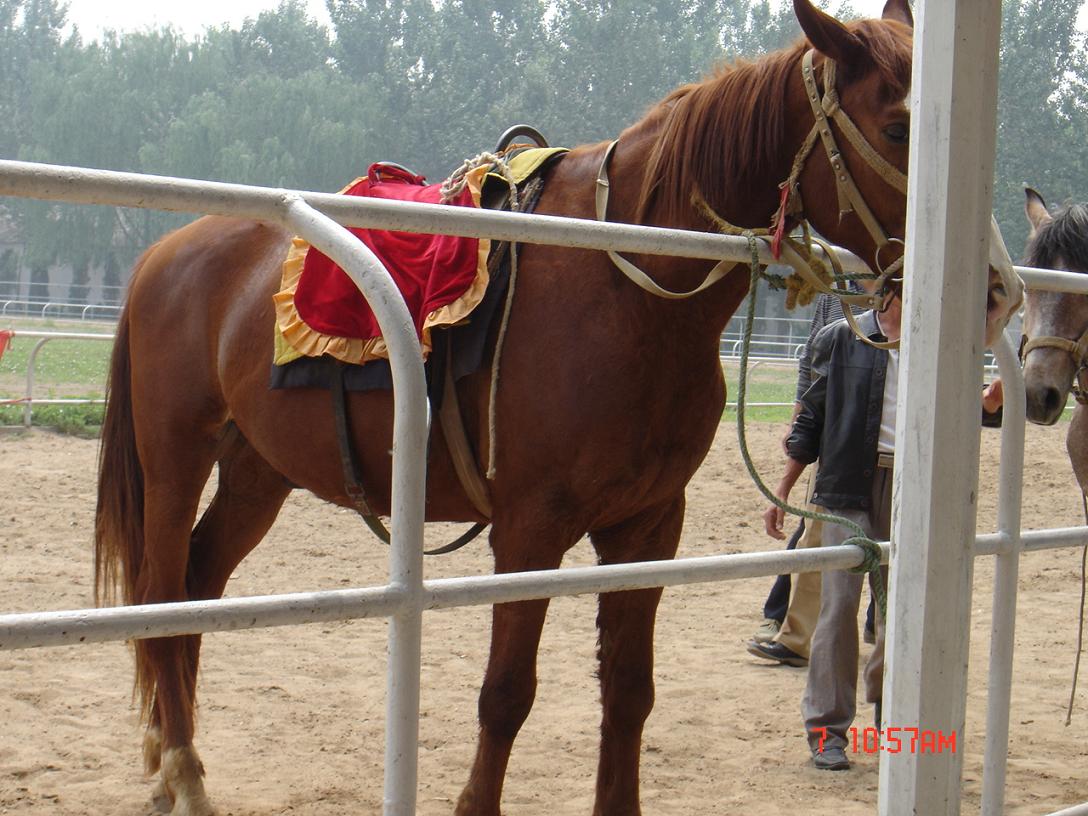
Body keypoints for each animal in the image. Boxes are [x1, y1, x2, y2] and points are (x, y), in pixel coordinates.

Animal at [97, 3, 918, 813]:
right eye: (898, 128)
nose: (935, 283)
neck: (625, 288)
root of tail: (162, 253)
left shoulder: (649, 526)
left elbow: (629, 693)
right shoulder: (531, 528)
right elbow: (506, 694)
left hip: (258, 472)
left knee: (199, 585)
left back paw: (174, 760)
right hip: (174, 460)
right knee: (163, 594)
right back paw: (182, 770)